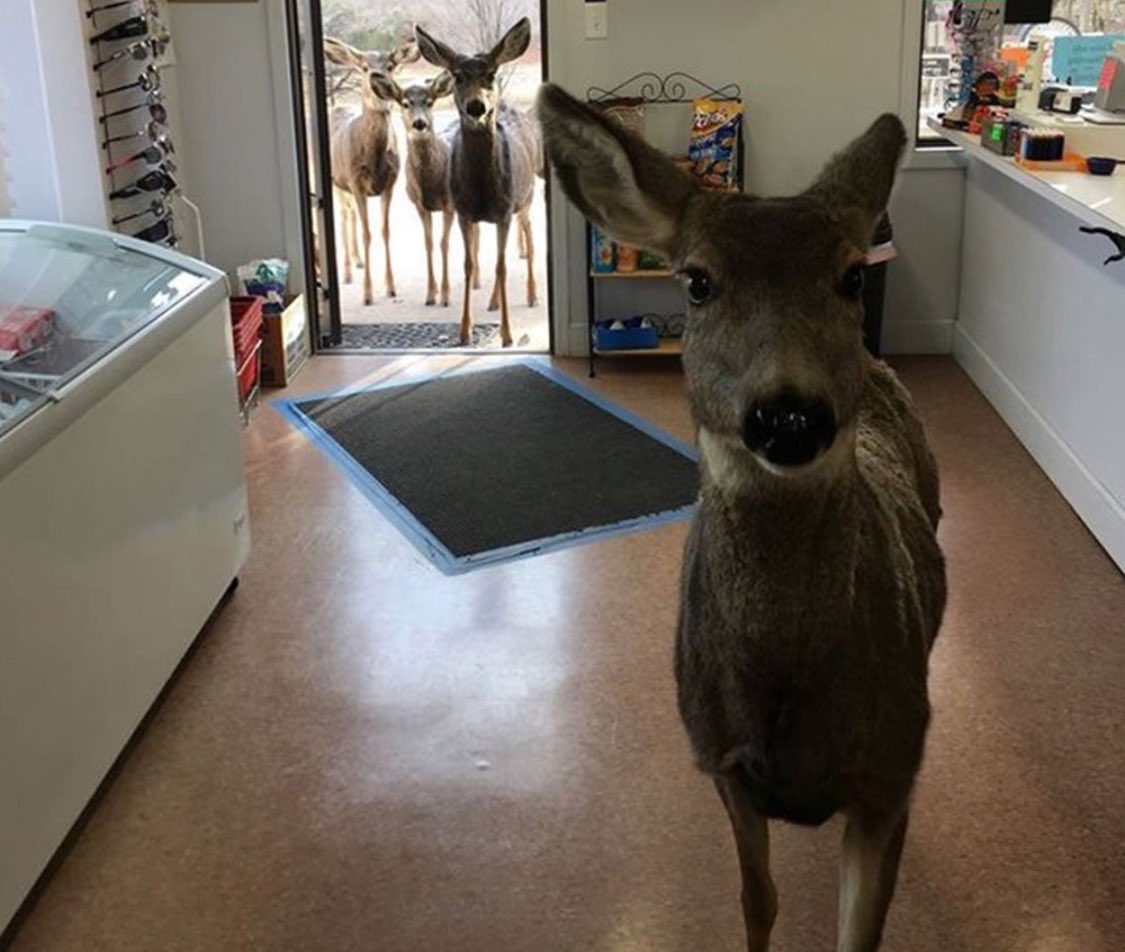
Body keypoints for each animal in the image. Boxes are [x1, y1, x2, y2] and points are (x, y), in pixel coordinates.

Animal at [323, 38, 419, 306]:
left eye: (390, 65)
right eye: (365, 67)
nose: (378, 77)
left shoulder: (390, 184)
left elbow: (385, 232)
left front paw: (391, 288)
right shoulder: (356, 183)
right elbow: (367, 233)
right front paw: (367, 294)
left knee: (350, 214)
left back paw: (357, 261)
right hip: (335, 181)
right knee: (344, 217)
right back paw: (346, 272)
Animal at [368, 70, 457, 307]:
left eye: (430, 102)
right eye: (405, 103)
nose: (419, 123)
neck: (431, 183)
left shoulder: (449, 205)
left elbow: (444, 243)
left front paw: (446, 295)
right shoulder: (419, 205)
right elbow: (428, 243)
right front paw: (431, 294)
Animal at [414, 17, 541, 347]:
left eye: (491, 74)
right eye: (457, 76)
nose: (476, 107)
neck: (483, 189)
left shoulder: (505, 209)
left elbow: (502, 266)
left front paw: (507, 334)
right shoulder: (463, 211)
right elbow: (469, 264)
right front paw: (464, 330)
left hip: (526, 198)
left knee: (528, 239)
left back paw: (533, 295)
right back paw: (494, 302)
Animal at [538, 83, 947, 952]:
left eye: (851, 277)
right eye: (695, 281)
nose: (787, 416)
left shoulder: (889, 770)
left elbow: (860, 929)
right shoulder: (718, 758)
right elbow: (756, 900)